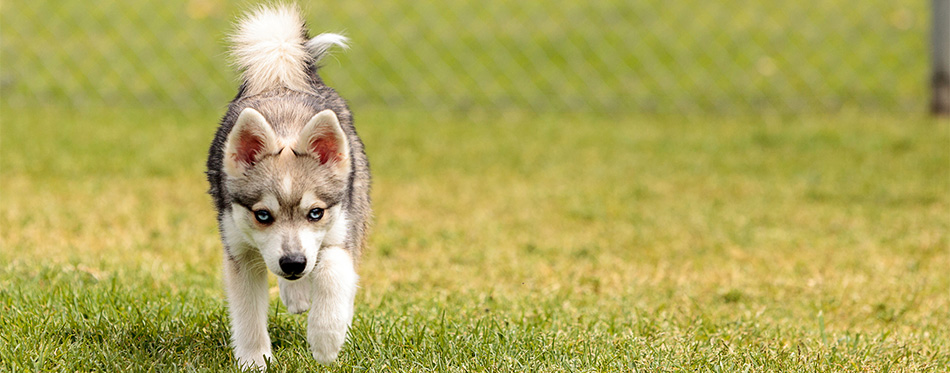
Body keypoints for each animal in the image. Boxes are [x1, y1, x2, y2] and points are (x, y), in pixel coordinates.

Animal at [206, 4, 370, 368]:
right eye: (263, 215)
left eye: (316, 213)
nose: (293, 263)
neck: (286, 125)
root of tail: (282, 73)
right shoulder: (239, 249)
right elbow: (248, 313)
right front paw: (255, 361)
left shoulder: (342, 229)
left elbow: (333, 271)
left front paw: (326, 340)